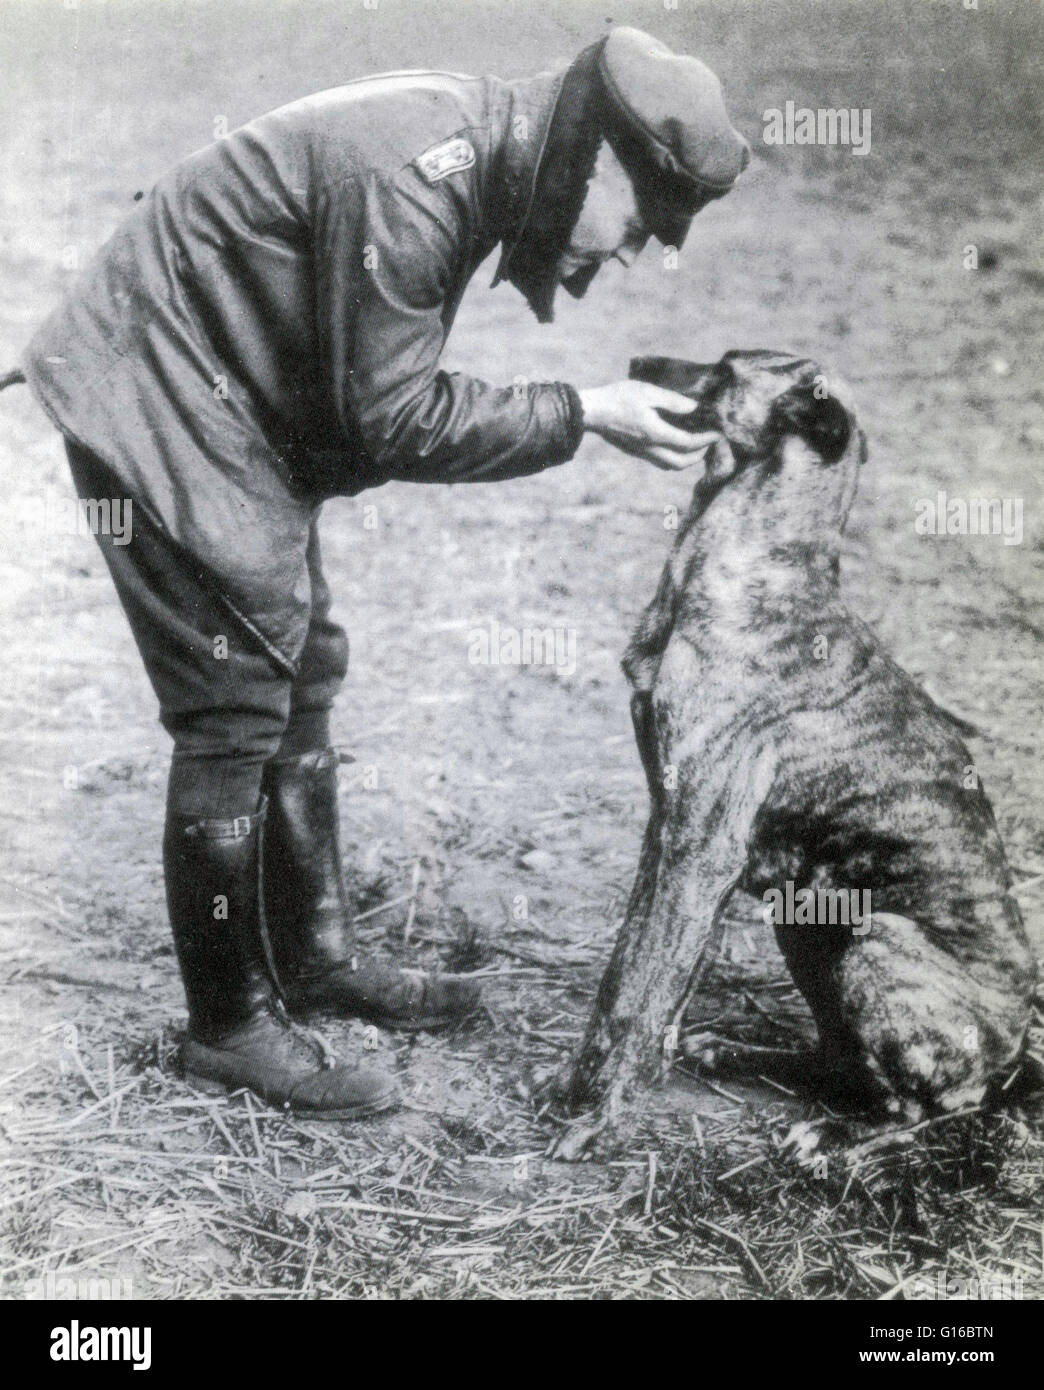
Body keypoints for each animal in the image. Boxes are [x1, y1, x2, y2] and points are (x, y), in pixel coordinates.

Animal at [550, 350, 1039, 1162]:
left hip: (873, 943)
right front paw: (585, 1086)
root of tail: (1014, 1056)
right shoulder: (671, 837)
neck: (757, 572)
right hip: (809, 927)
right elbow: (631, 981)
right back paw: (740, 1056)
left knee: (921, 1108)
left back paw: (836, 1138)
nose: (638, 363)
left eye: (724, 369)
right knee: (838, 1058)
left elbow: (640, 999)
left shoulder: (698, 851)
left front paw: (598, 1117)